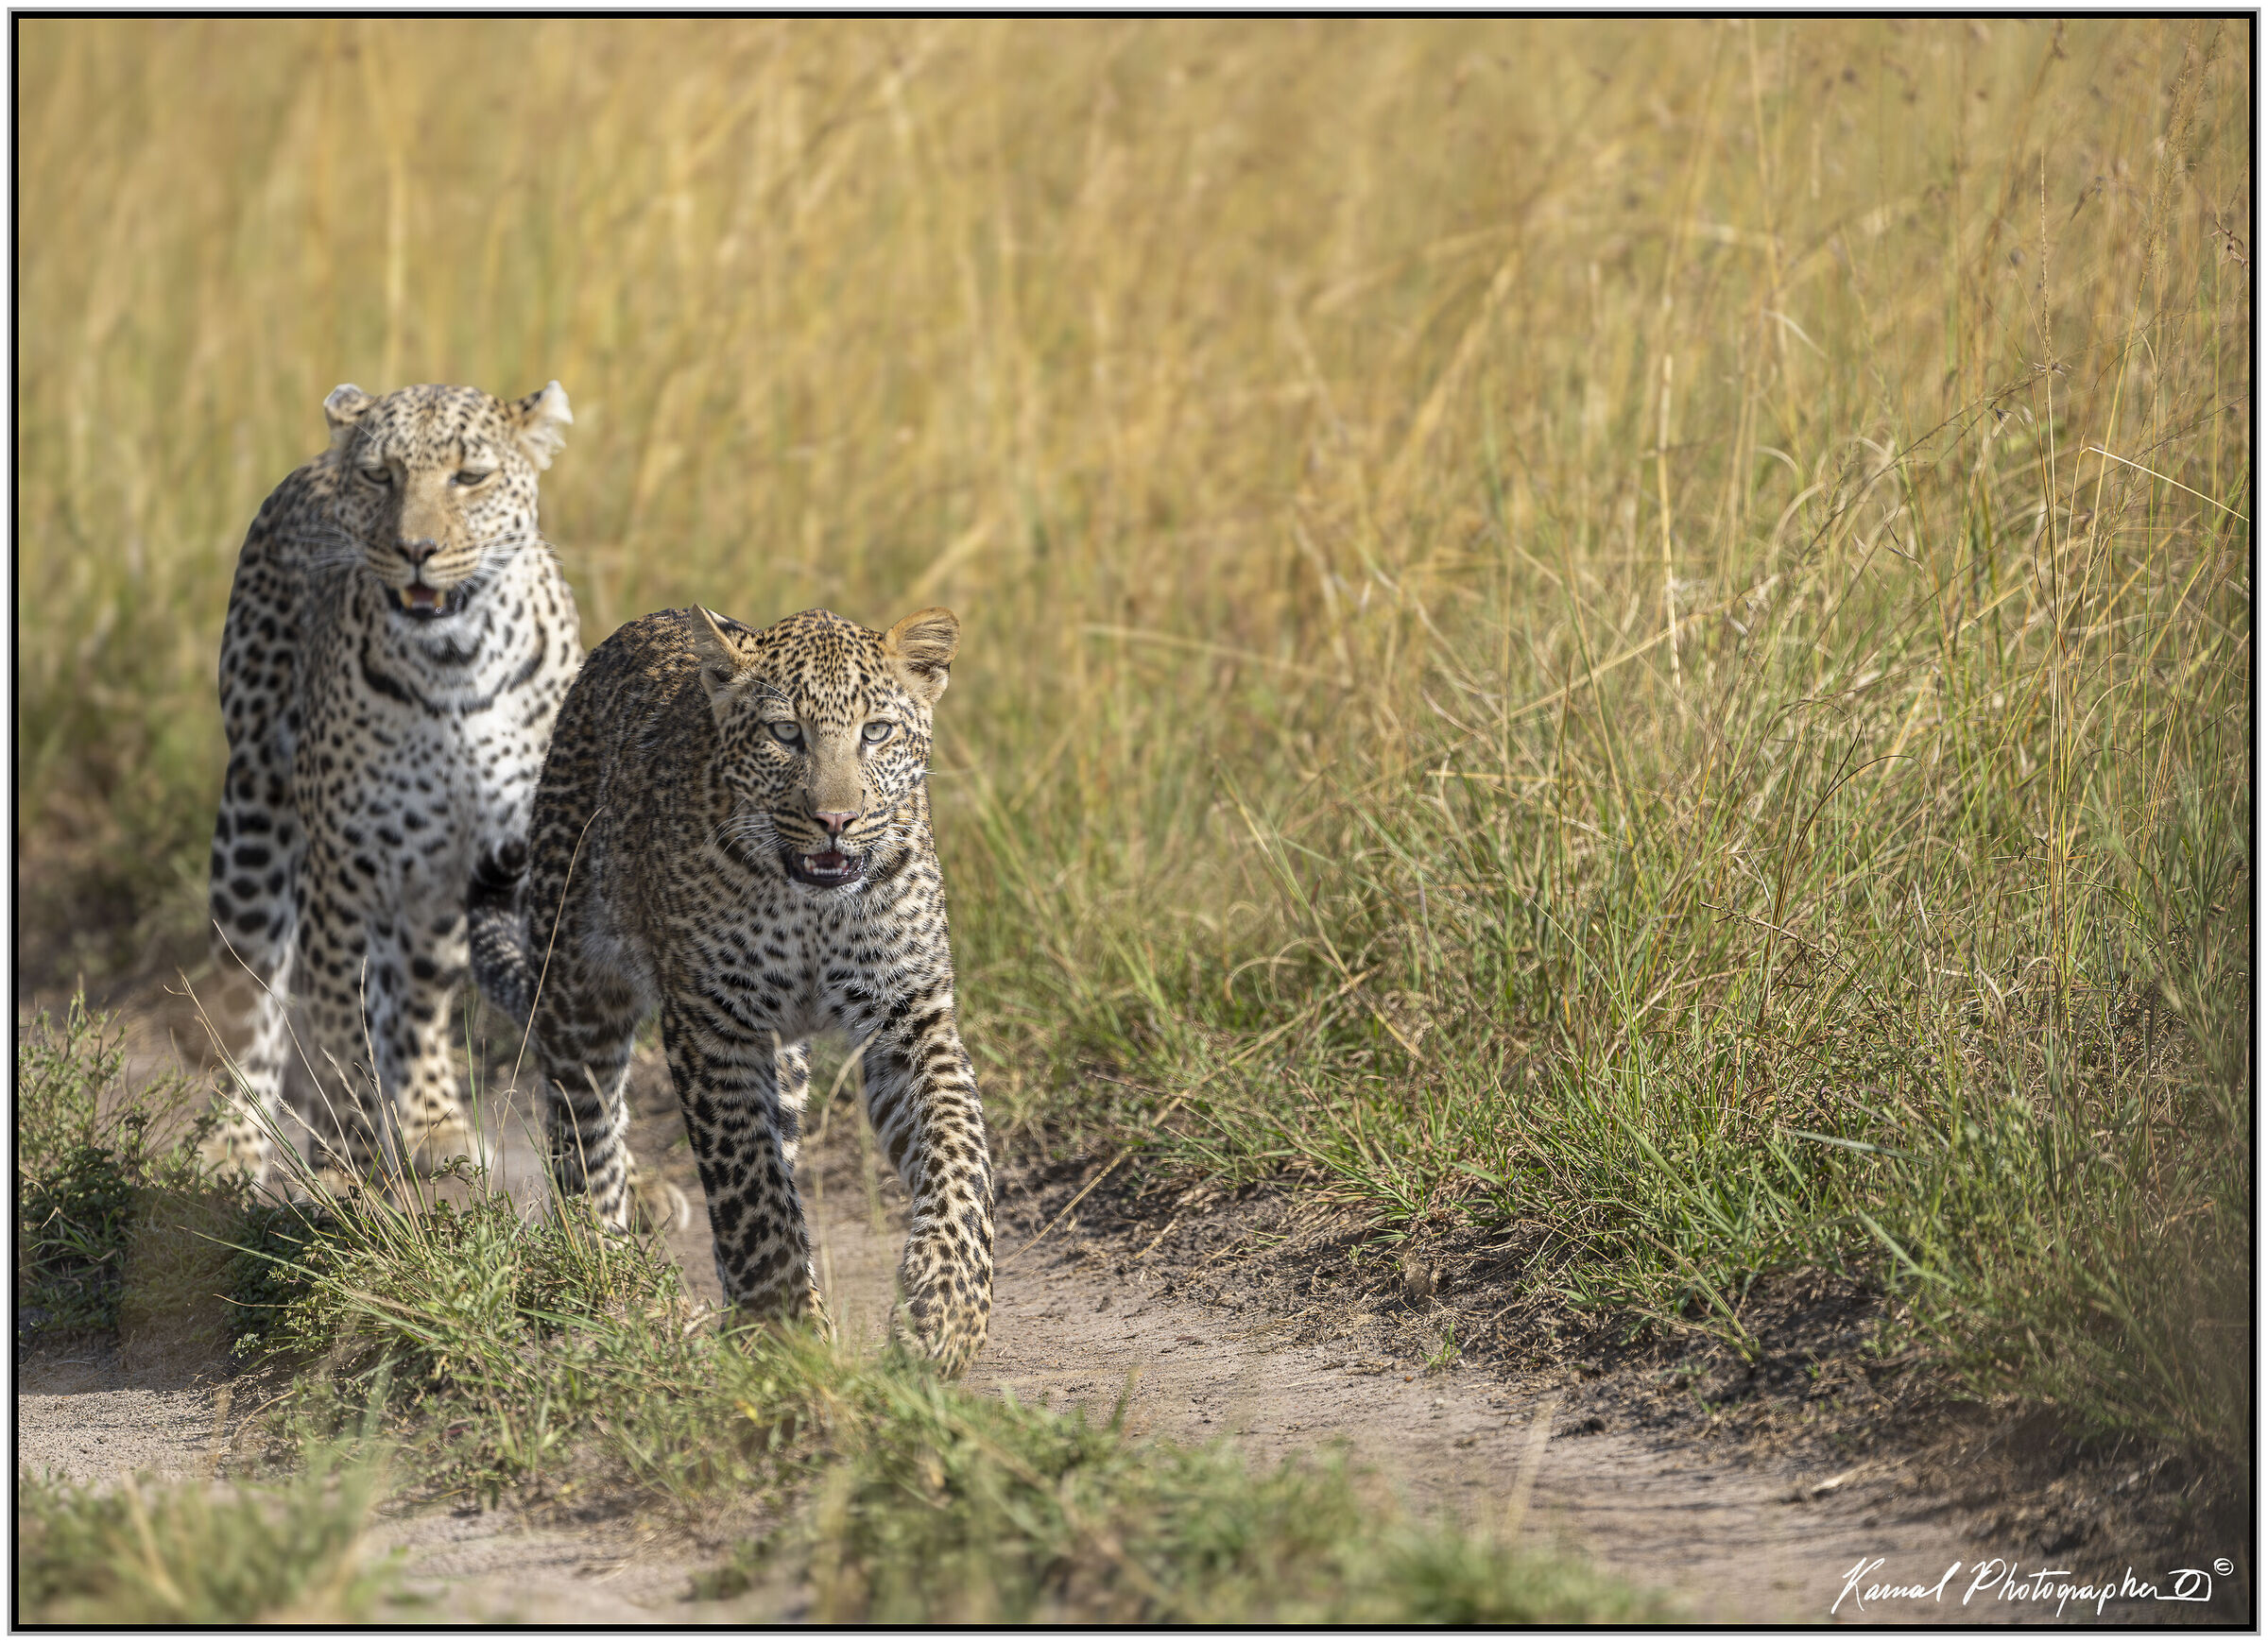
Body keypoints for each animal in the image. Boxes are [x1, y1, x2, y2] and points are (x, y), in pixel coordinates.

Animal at [203, 380, 583, 1190]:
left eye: (470, 477)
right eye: (381, 476)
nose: (416, 551)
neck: (456, 663)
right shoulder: (340, 868)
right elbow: (336, 1026)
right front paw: (346, 1160)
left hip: (434, 881)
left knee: (413, 992)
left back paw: (434, 1126)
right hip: (253, 819)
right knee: (251, 994)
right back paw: (236, 1140)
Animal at [467, 603, 994, 1375]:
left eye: (876, 731)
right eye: (785, 734)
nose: (835, 820)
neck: (811, 905)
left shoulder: (909, 1015)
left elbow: (960, 1156)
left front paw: (947, 1314)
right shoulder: (713, 1023)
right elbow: (749, 1185)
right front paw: (786, 1331)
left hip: (786, 1061)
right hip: (575, 989)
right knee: (584, 1139)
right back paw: (610, 1276)